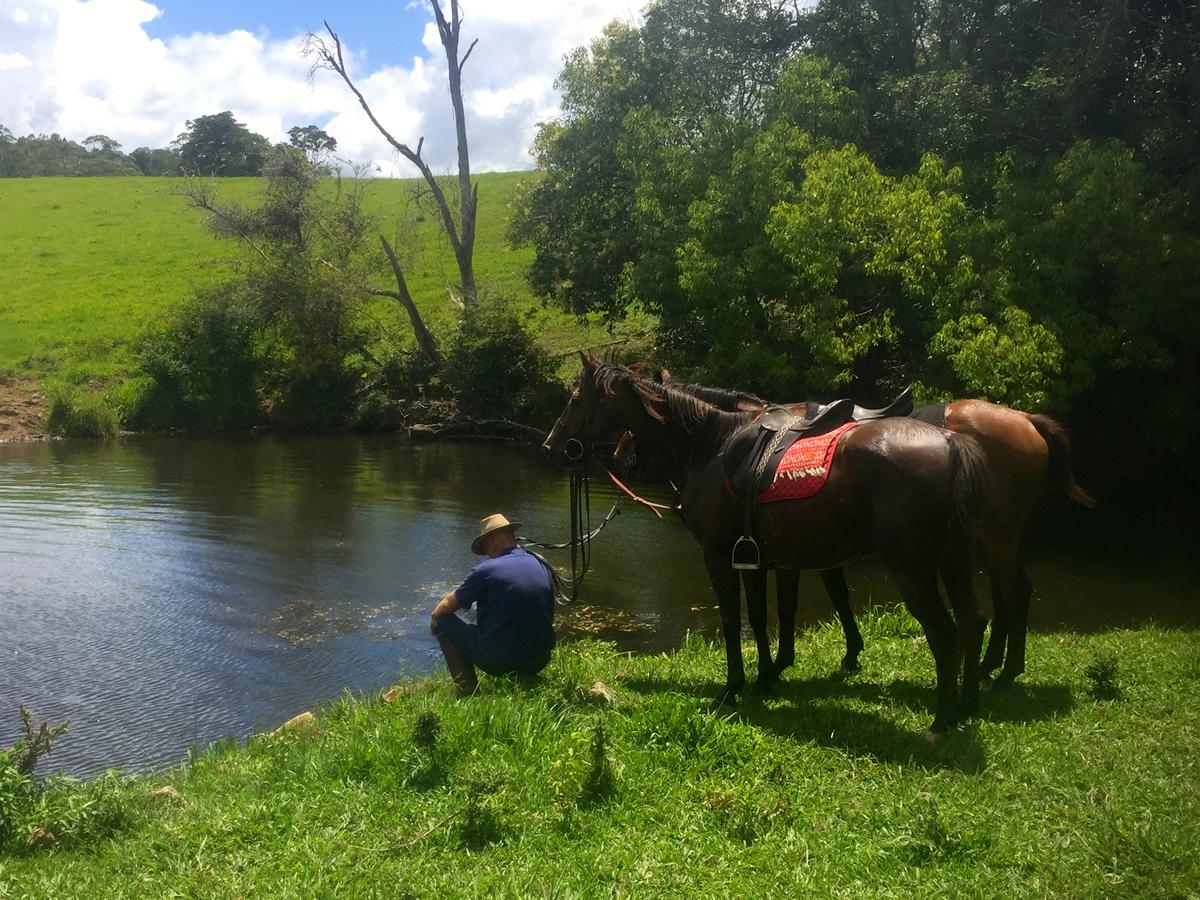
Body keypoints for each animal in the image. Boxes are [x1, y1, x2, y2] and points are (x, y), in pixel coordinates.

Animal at [549, 355, 988, 734]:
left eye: (575, 398)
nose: (552, 445)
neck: (711, 445)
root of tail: (950, 443)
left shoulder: (720, 556)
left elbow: (732, 620)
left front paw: (734, 685)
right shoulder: (759, 559)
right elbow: (761, 619)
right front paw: (765, 677)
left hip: (912, 570)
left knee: (945, 633)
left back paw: (942, 721)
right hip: (954, 562)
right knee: (973, 621)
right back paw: (967, 705)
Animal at [662, 374, 1094, 681]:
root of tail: (1027, 420)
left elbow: (815, 600)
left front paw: (803, 660)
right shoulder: (803, 548)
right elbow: (825, 598)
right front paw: (839, 654)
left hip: (995, 535)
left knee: (1013, 591)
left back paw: (1004, 672)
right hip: (989, 538)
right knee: (1004, 594)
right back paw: (991, 666)